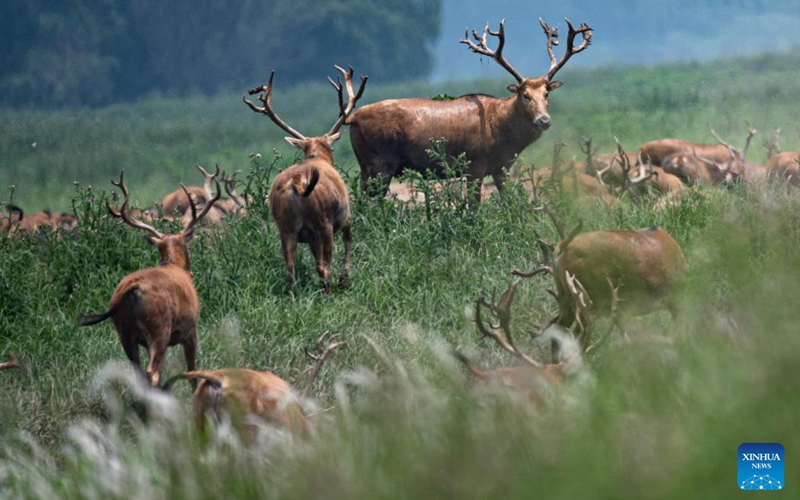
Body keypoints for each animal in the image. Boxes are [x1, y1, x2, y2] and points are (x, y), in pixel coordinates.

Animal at [77, 171, 220, 386]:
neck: (173, 265)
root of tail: (132, 288)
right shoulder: (190, 330)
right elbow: (192, 370)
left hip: (125, 332)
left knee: (138, 373)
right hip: (159, 328)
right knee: (153, 371)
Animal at [244, 65, 368, 292]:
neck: (317, 156)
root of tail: (296, 184)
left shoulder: (308, 237)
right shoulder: (346, 216)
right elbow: (348, 243)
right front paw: (345, 279)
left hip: (286, 226)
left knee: (290, 269)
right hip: (323, 222)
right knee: (324, 267)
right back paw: (330, 291)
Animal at [346, 16, 592, 203]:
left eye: (546, 94)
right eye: (525, 95)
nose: (544, 120)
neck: (503, 136)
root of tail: (352, 118)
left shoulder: (500, 167)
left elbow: (509, 202)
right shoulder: (474, 164)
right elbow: (473, 207)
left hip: (366, 166)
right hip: (380, 162)